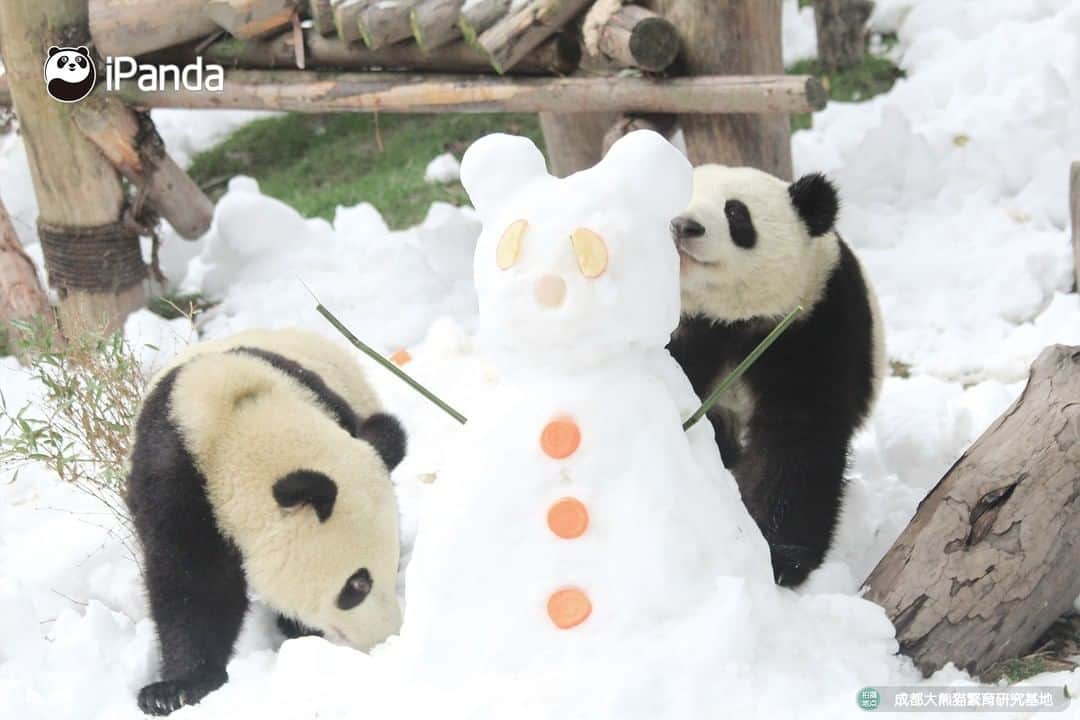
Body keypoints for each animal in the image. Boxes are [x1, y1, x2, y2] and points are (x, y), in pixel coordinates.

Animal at [123, 325, 408, 716]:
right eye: (356, 585)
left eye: (393, 567)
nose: (386, 635)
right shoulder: (174, 480)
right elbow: (191, 582)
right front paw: (175, 690)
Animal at [665, 166, 885, 587]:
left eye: (736, 213)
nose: (684, 226)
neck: (728, 318)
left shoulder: (812, 327)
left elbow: (797, 445)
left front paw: (779, 560)